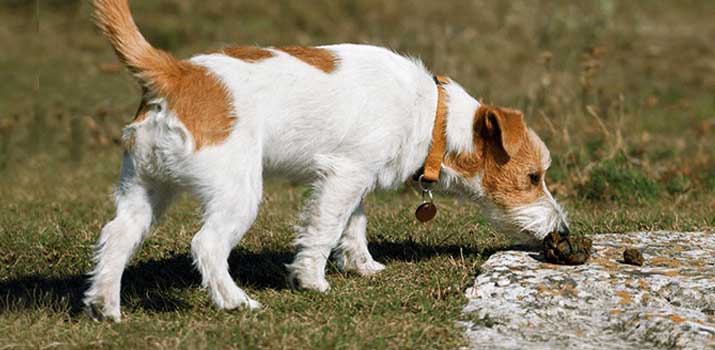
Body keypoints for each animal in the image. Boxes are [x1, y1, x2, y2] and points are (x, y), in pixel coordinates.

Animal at [85, 0, 572, 322]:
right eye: (534, 177)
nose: (564, 231)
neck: (433, 116)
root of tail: (176, 74)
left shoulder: (351, 177)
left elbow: (353, 225)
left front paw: (363, 266)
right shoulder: (344, 177)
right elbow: (323, 230)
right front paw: (312, 281)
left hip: (144, 187)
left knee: (116, 236)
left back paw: (106, 306)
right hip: (238, 193)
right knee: (206, 245)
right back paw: (235, 301)